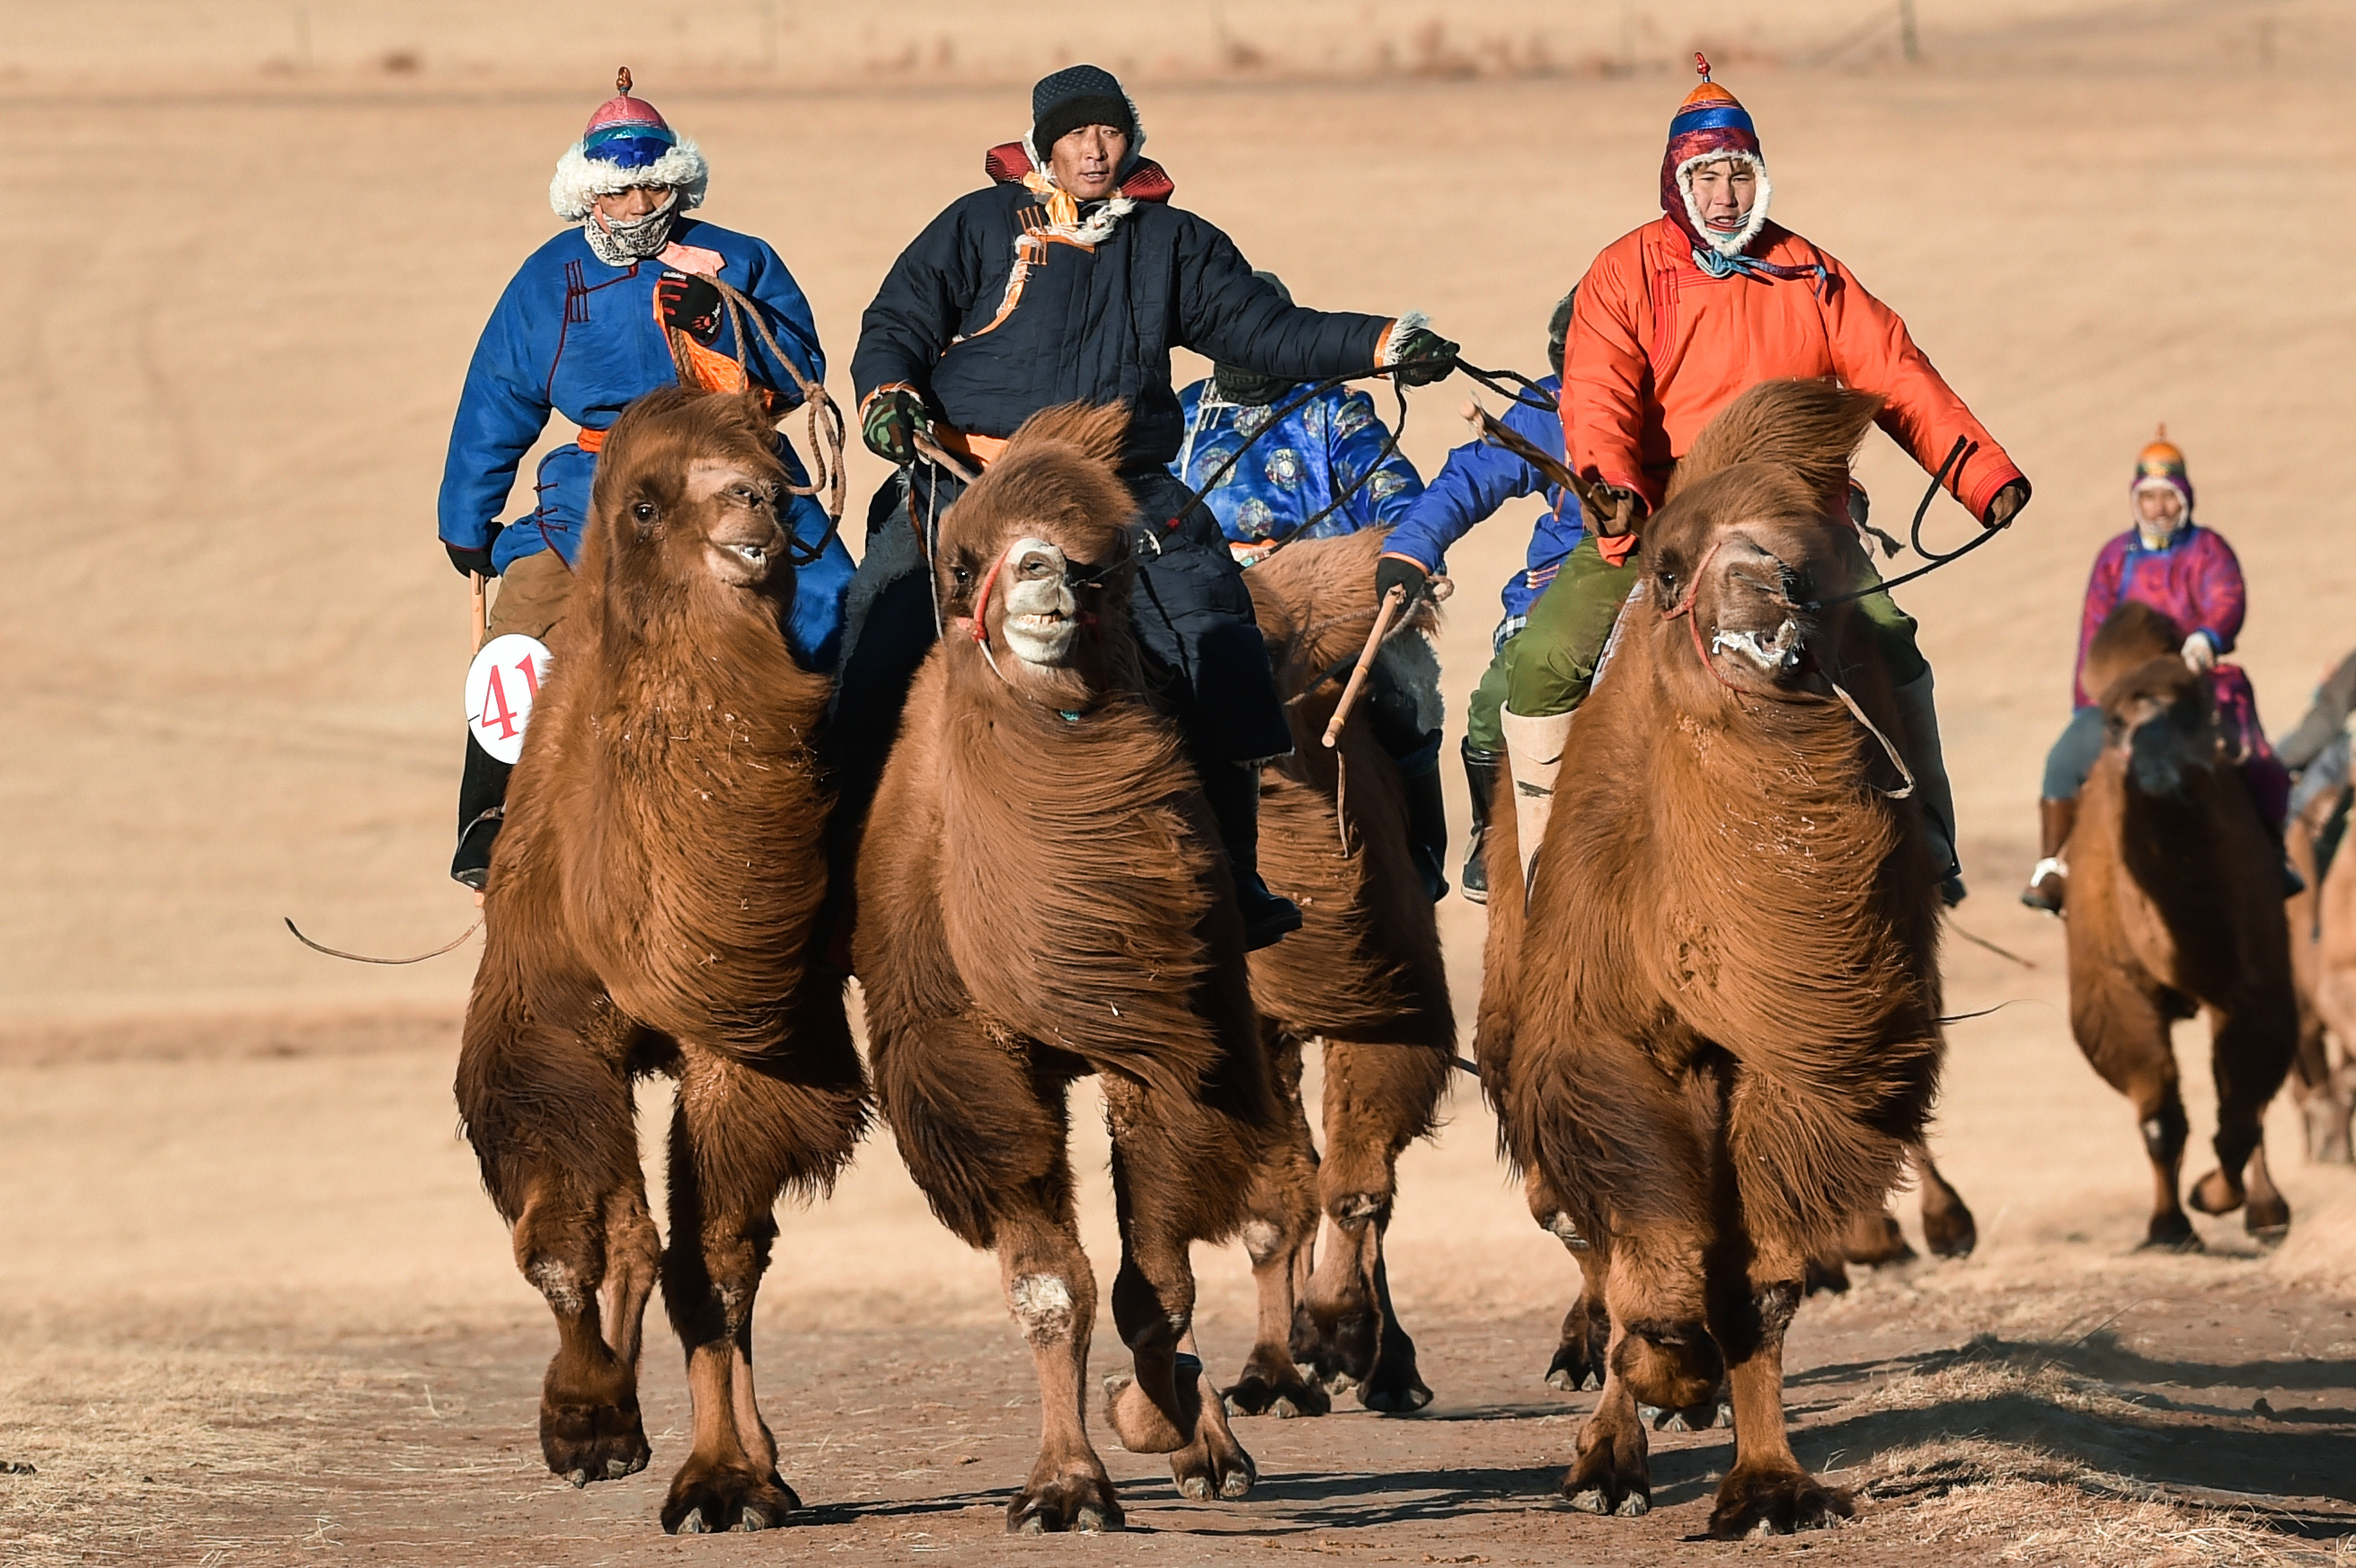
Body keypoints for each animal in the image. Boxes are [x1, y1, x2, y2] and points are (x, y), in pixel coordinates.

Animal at [455, 384, 872, 1535]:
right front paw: (587, 1423)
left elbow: (714, 1266)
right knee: (627, 1228)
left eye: (774, 467)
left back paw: (756, 1460)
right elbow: (563, 1245)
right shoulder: (539, 1025)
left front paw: (722, 1477)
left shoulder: (749, 1048)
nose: (756, 507)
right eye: (644, 504)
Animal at [862, 400, 1281, 1525]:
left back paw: (1205, 1433)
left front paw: (1163, 1420)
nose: (1046, 575)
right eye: (965, 562)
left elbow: (1159, 1281)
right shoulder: (974, 1061)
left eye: (1100, 564)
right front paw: (1066, 1483)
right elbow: (1052, 1284)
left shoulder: (1163, 1040)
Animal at [1215, 527, 1451, 1413]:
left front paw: (1335, 1332)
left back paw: (1390, 1367)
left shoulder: (1394, 1006)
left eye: (1270, 649)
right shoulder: (1247, 1029)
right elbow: (1273, 1209)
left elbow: (1355, 1184)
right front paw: (1270, 1371)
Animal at [1489, 381, 1951, 1535]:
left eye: (1818, 565)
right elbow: (1643, 1222)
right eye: (1666, 565)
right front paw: (1665, 1375)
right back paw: (1610, 1446)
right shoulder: (1596, 1036)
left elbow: (1767, 1280)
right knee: (1579, 1223)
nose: (1764, 593)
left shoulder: (1811, 1064)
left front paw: (1772, 1485)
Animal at [2073, 598, 2290, 1243]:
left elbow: (2242, 1114)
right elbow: (2161, 1118)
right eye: (2115, 724)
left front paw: (2213, 1196)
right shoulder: (2112, 987)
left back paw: (2265, 1209)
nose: (2158, 773)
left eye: (2199, 711)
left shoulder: (2257, 984)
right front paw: (2169, 1226)